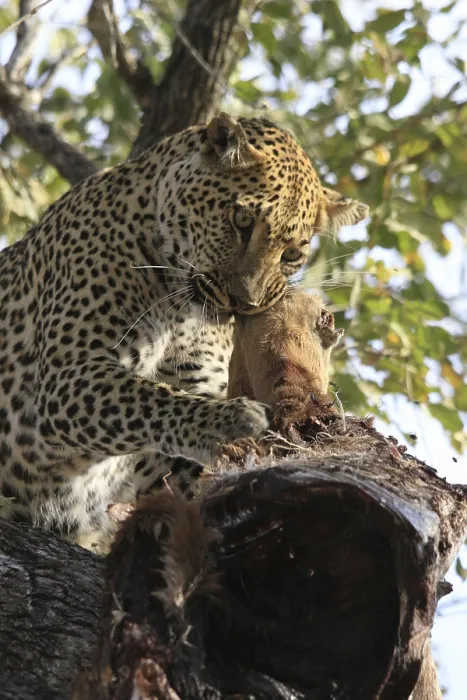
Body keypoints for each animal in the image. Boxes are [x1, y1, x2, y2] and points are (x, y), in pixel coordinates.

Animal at [0, 112, 368, 552]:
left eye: (292, 254)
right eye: (241, 221)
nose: (244, 300)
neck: (178, 309)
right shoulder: (68, 374)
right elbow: (150, 400)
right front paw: (230, 421)